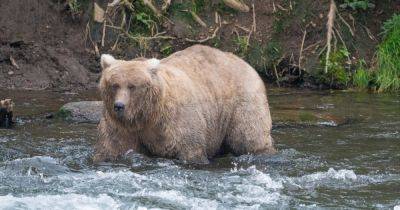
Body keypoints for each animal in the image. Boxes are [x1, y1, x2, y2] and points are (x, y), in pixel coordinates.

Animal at [94, 44, 276, 163]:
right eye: (114, 85)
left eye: (132, 86)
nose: (119, 106)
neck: (147, 115)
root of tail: (246, 63)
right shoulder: (121, 126)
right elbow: (112, 147)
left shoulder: (176, 120)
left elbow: (190, 149)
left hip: (242, 102)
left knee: (249, 136)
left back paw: (263, 151)